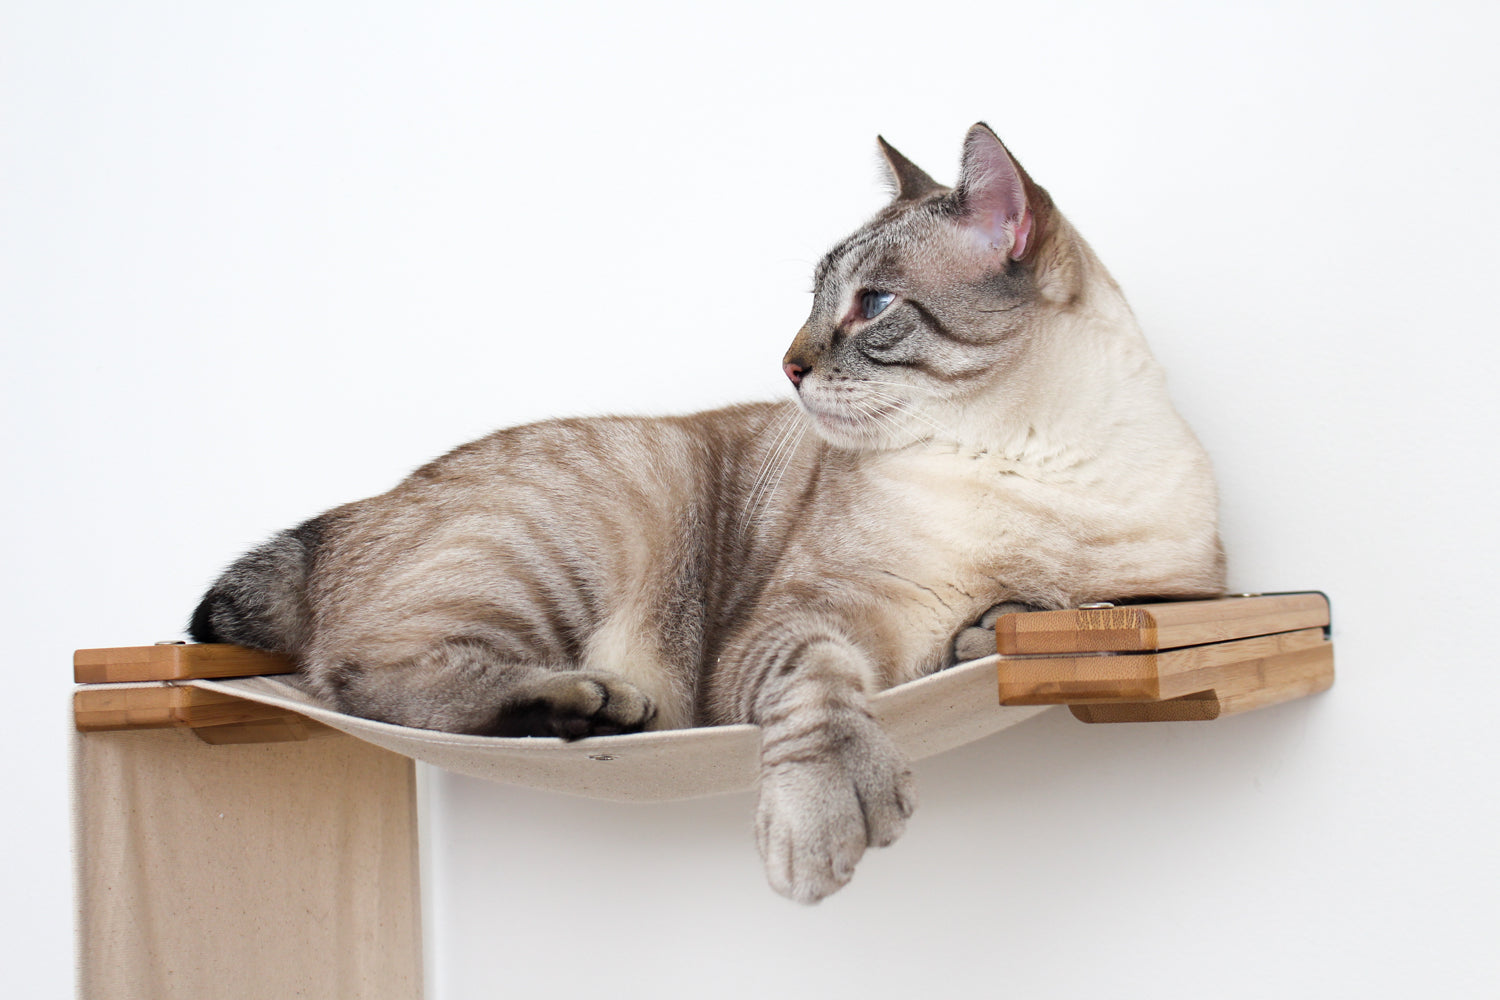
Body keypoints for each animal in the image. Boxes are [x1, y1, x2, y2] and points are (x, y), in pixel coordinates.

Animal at [190, 125, 1218, 905]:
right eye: (816, 303)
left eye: (873, 304)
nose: (789, 365)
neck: (1026, 456)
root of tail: (346, 513)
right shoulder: (807, 630)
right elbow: (826, 694)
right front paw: (825, 820)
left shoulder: (1171, 596)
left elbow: (1039, 614)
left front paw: (1003, 619)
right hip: (584, 536)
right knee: (372, 682)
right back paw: (588, 705)